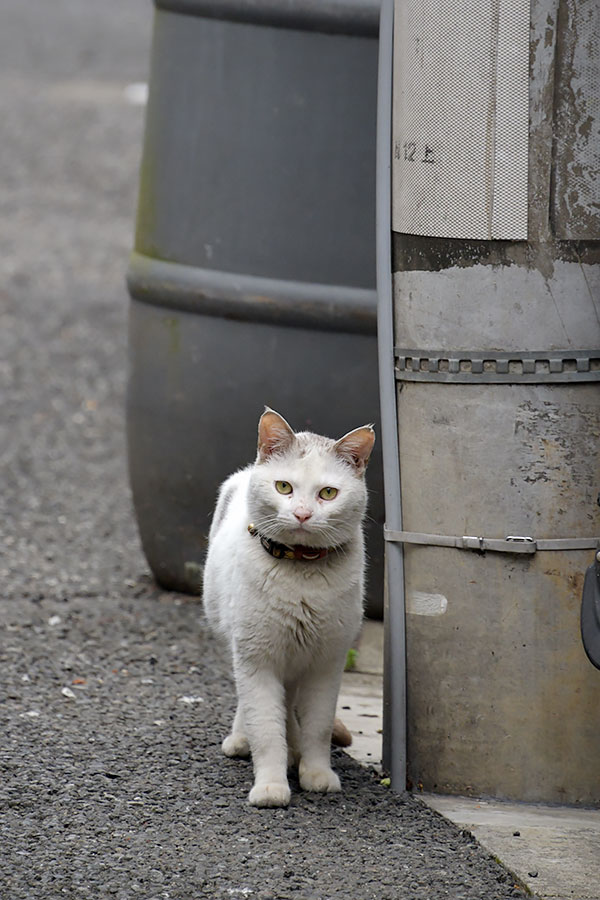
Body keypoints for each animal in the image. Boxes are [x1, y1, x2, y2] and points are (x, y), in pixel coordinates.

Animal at [204, 408, 378, 808]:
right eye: (284, 487)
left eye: (327, 493)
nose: (301, 514)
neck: (301, 571)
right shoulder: (256, 658)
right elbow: (267, 728)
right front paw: (270, 787)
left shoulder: (325, 664)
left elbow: (317, 726)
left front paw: (315, 773)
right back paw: (243, 740)